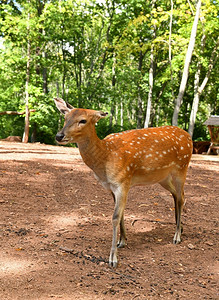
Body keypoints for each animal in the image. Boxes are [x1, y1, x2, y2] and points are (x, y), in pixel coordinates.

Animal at [54, 98, 192, 268]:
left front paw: (113, 258)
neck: (105, 157)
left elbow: (115, 217)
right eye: (65, 118)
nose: (59, 135)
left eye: (83, 120)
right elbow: (121, 215)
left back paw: (177, 236)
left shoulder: (123, 182)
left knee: (181, 197)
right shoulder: (111, 187)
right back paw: (181, 228)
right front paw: (122, 241)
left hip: (182, 167)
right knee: (178, 195)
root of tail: (189, 136)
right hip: (163, 177)